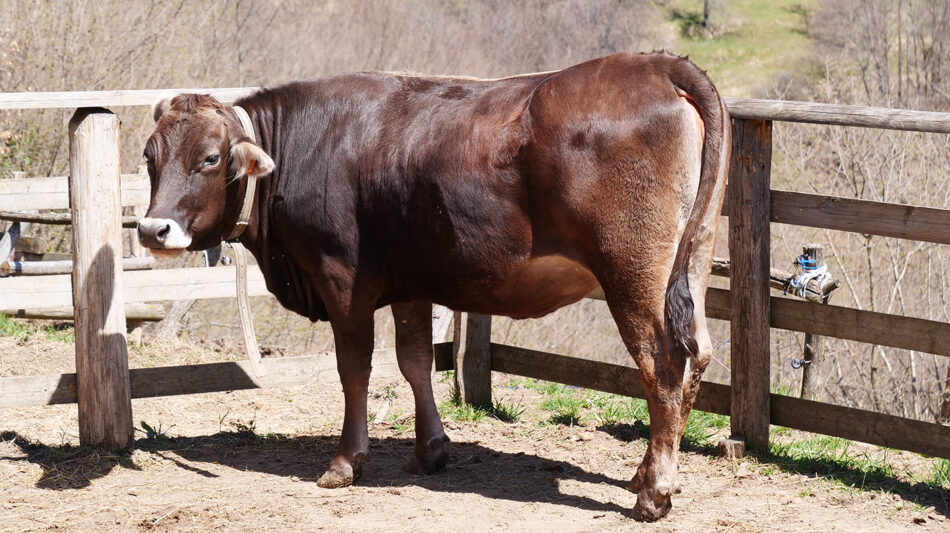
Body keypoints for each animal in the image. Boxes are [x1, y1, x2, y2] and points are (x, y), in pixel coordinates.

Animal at [138, 52, 732, 516]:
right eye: (149, 156)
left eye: (209, 158)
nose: (151, 229)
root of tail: (654, 65)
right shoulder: (413, 282)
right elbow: (415, 361)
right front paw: (431, 450)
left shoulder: (342, 279)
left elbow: (354, 369)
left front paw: (345, 462)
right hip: (693, 258)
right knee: (697, 355)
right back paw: (647, 473)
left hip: (633, 273)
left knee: (663, 364)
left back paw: (654, 493)